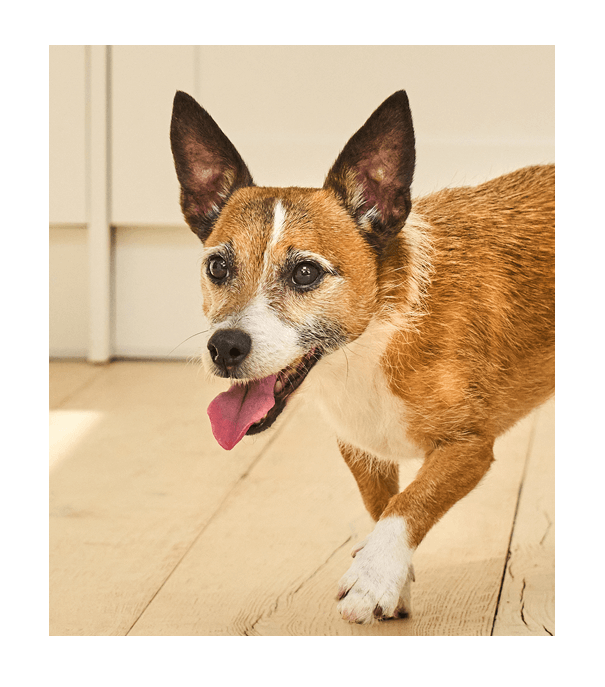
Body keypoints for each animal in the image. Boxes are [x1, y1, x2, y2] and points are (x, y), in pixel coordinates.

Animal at [169, 90, 552, 624]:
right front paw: (395, 580)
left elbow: (408, 506)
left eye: (306, 272)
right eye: (218, 267)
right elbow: (383, 506)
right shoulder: (362, 450)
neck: (373, 342)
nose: (224, 346)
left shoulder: (469, 447)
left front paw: (372, 578)